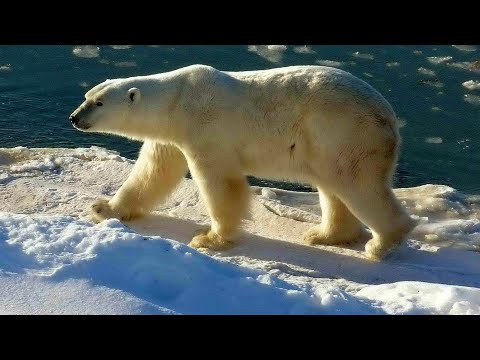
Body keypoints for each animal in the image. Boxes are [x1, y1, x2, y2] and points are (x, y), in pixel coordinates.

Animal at [70, 64, 416, 260]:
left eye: (98, 103)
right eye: (86, 96)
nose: (74, 117)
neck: (178, 99)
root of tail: (390, 118)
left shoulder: (205, 128)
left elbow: (220, 183)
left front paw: (209, 239)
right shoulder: (170, 136)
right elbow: (152, 172)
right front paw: (104, 208)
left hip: (346, 133)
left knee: (357, 184)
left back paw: (381, 244)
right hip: (327, 144)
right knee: (333, 187)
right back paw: (325, 235)